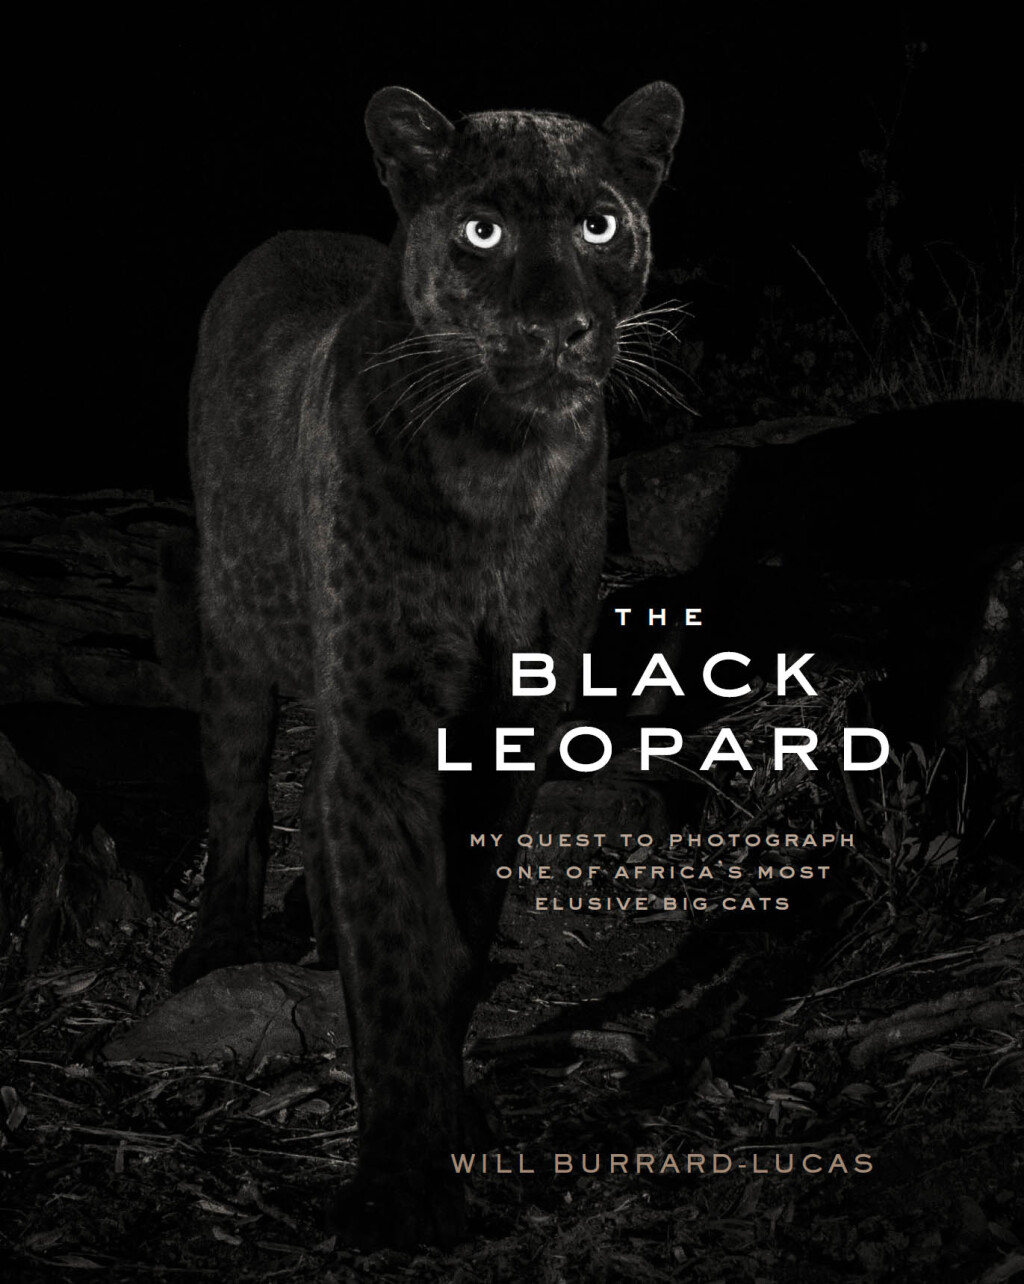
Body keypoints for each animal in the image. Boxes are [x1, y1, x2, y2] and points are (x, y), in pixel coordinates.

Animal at [171, 80, 684, 1248]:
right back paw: (220, 943)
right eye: (481, 231)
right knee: (236, 787)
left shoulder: (508, 724)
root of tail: (285, 235)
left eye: (599, 223)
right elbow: (399, 940)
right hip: (236, 630)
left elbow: (459, 927)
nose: (551, 329)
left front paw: (456, 1115)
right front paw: (404, 1191)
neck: (500, 459)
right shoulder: (382, 716)